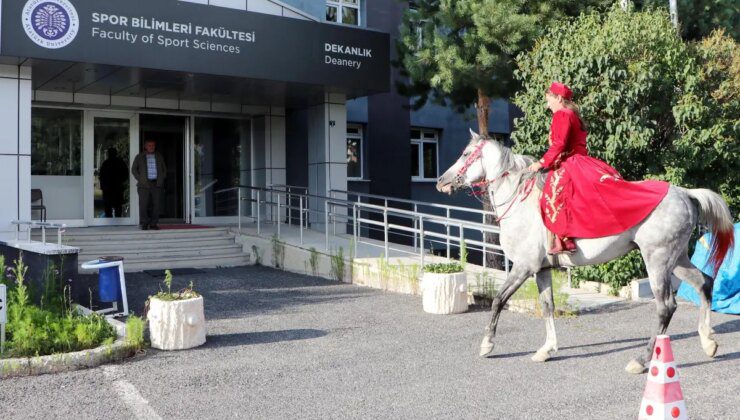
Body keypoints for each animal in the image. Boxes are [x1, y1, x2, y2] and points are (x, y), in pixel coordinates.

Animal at [440, 130, 736, 372]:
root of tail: (686, 194)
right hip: (678, 258)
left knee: (666, 307)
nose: (441, 181)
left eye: (465, 154)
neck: (519, 201)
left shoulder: (523, 267)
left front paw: (487, 344)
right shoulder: (541, 269)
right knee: (704, 282)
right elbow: (547, 306)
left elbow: (498, 300)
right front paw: (547, 349)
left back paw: (641, 360)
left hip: (658, 261)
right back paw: (708, 341)